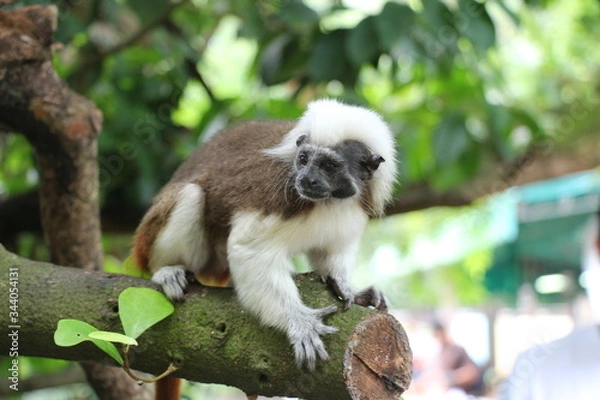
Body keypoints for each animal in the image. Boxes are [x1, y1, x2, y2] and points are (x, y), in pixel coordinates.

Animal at [132, 97, 398, 384]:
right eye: (303, 159)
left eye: (329, 166)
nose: (307, 179)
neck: (328, 201)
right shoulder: (275, 195)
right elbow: (249, 250)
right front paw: (300, 322)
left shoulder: (355, 204)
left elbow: (332, 250)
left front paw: (347, 287)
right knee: (191, 194)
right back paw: (166, 270)